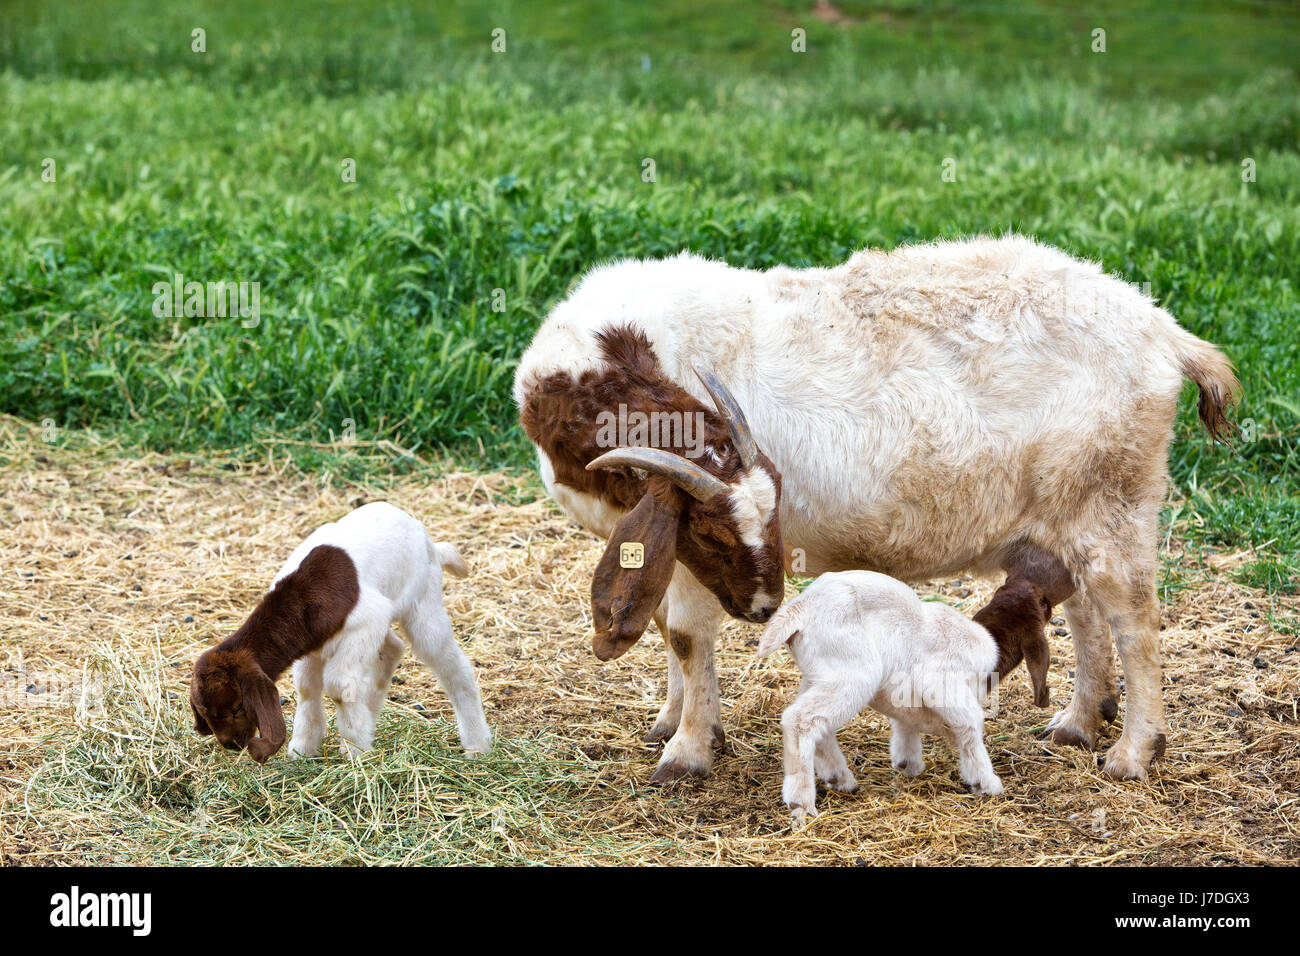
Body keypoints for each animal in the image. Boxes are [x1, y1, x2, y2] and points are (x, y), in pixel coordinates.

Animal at [512, 235, 1232, 780]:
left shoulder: (685, 554)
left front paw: (687, 752)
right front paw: (673, 720)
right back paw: (1080, 722)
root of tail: (1163, 331)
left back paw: (1133, 751)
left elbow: (687, 636)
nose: (767, 607)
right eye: (720, 533)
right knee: (1084, 607)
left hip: (1115, 499)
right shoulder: (663, 541)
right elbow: (663, 624)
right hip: (1064, 508)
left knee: (1133, 617)